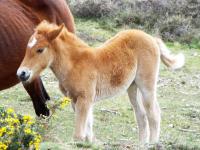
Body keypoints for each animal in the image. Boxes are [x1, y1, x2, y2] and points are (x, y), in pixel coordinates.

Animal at [16, 20, 184, 144]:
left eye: (40, 50)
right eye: (27, 48)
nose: (21, 73)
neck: (75, 63)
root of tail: (151, 38)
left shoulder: (84, 98)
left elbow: (78, 135)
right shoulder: (76, 99)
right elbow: (87, 129)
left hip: (146, 84)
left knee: (153, 113)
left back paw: (153, 143)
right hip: (132, 87)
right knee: (141, 115)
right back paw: (142, 144)